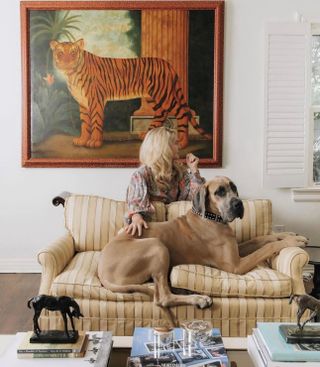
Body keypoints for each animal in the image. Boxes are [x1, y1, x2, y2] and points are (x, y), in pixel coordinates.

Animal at [50, 39, 211, 149]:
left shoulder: (95, 100)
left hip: (164, 95)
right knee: (161, 113)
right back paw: (146, 135)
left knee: (182, 113)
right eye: (60, 53)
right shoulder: (83, 102)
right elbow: (84, 123)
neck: (71, 74)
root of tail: (167, 63)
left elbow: (95, 121)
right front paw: (82, 140)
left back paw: (182, 142)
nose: (66, 62)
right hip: (152, 97)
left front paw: (95, 142)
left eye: (73, 53)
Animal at [97, 177, 308, 318]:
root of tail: (101, 270)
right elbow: (267, 246)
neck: (211, 217)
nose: (239, 204)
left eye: (234, 188)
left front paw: (292, 235)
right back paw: (199, 299)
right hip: (157, 246)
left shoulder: (237, 250)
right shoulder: (236, 266)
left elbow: (262, 238)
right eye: (219, 192)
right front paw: (292, 242)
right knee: (163, 297)